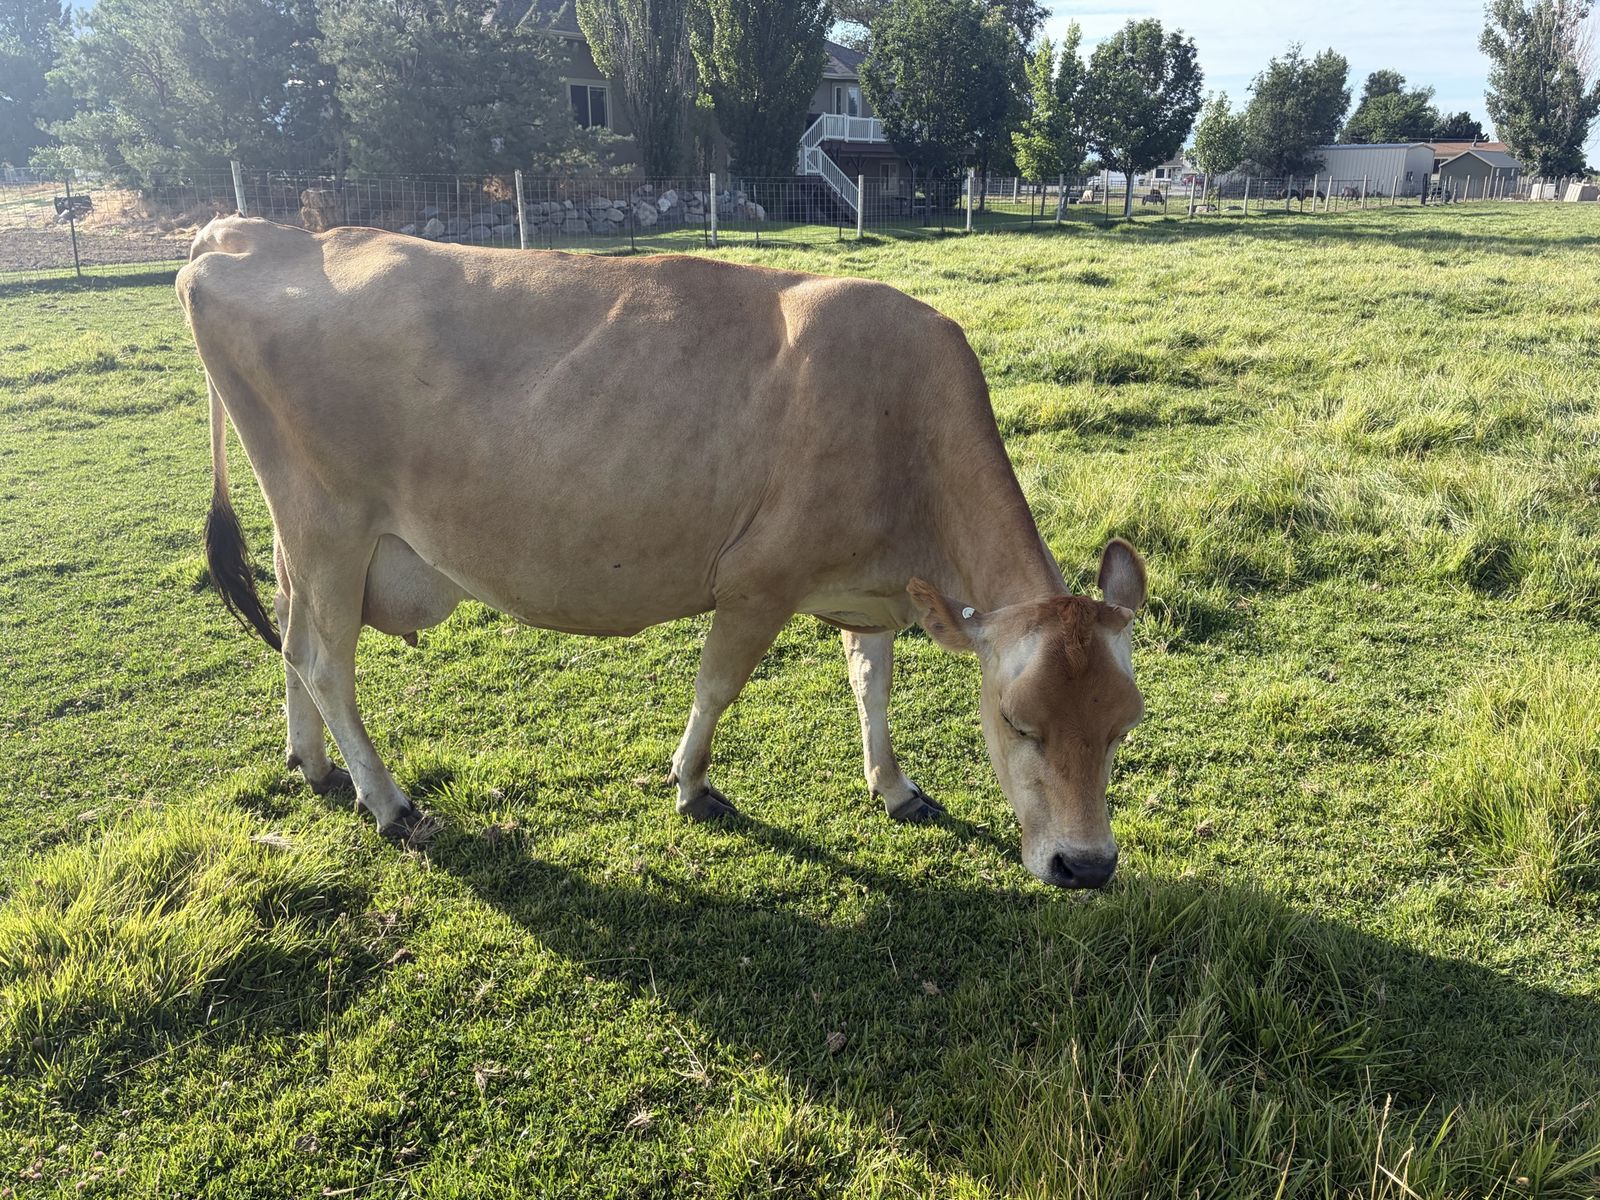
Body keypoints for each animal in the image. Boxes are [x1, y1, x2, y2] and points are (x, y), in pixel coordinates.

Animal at [177, 217, 1148, 889]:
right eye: (1018, 723)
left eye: (1122, 727)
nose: (1086, 865)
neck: (904, 424)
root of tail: (262, 233)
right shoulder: (759, 582)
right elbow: (717, 687)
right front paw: (690, 785)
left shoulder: (872, 588)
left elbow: (871, 682)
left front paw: (894, 783)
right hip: (331, 524)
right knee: (324, 660)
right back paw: (388, 801)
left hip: (303, 537)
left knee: (293, 640)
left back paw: (310, 763)